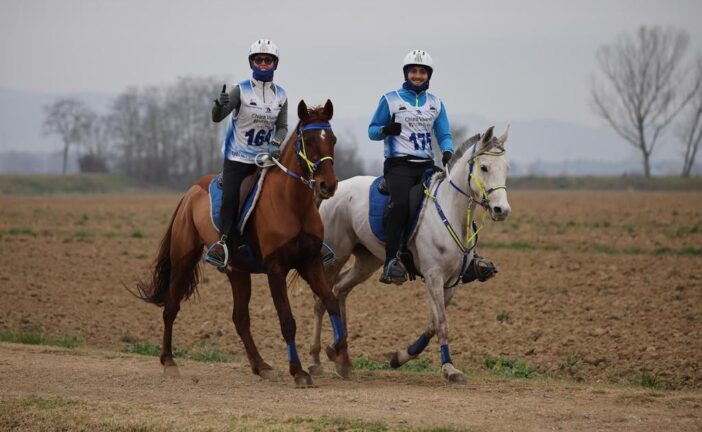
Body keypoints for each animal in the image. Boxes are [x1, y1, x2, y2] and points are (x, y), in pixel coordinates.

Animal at [135, 99, 352, 386]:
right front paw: (298, 371)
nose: (328, 185)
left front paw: (339, 355)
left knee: (240, 319)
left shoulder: (310, 263)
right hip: (183, 259)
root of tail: (191, 191)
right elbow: (287, 321)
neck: (292, 204)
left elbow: (331, 302)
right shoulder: (276, 270)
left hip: (238, 272)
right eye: (308, 140)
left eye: (333, 139)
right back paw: (169, 362)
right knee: (171, 307)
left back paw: (261, 365)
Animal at [308, 126, 512, 384]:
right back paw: (315, 360)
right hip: (337, 256)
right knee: (321, 299)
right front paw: (449, 369)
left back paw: (340, 355)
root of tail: (334, 189)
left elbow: (432, 324)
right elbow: (442, 323)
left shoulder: (452, 282)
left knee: (340, 289)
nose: (501, 210)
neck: (451, 211)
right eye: (484, 167)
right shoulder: (434, 276)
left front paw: (400, 357)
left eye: (506, 167)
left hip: (368, 260)